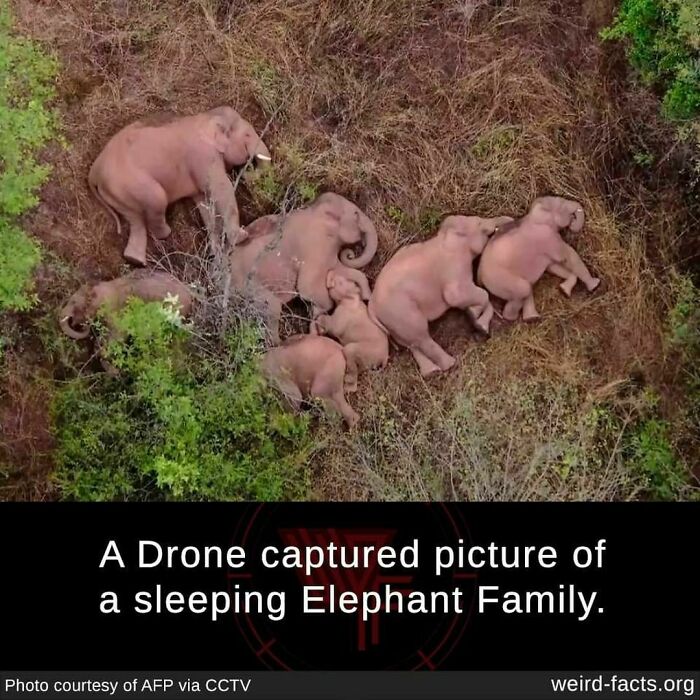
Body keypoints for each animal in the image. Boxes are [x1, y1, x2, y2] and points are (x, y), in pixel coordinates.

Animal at [89, 106, 272, 267]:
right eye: (247, 134)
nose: (246, 171)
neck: (206, 116)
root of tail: (94, 171)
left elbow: (204, 203)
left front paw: (217, 255)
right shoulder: (203, 156)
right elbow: (221, 188)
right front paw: (242, 237)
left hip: (118, 193)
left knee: (135, 220)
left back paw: (135, 261)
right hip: (131, 183)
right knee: (157, 201)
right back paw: (165, 234)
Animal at [229, 192, 378, 343]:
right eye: (356, 214)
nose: (367, 299)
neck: (314, 208)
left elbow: (339, 270)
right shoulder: (315, 244)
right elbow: (307, 288)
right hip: (250, 287)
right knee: (272, 309)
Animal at [368, 215, 512, 377]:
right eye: (479, 222)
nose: (509, 220)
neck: (444, 236)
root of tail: (372, 306)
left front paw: (477, 321)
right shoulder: (455, 266)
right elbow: (460, 296)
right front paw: (475, 316)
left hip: (393, 321)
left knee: (411, 343)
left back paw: (431, 372)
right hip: (401, 312)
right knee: (421, 336)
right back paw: (450, 364)